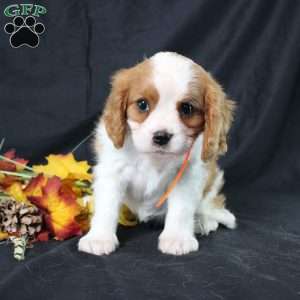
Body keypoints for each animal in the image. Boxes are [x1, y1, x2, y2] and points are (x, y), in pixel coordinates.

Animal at [78, 51, 237, 255]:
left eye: (187, 108)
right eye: (142, 104)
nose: (161, 137)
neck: (154, 158)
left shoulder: (187, 176)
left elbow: (181, 208)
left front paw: (177, 238)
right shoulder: (112, 171)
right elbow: (107, 205)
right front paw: (99, 238)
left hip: (212, 182)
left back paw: (202, 222)